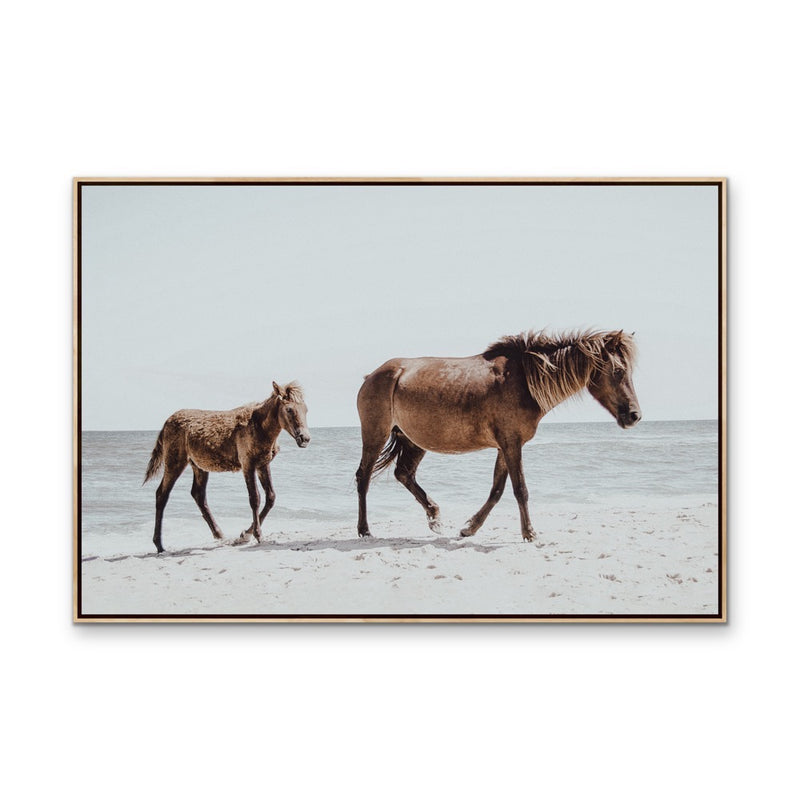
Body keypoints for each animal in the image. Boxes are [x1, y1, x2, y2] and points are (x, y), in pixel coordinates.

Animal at [144, 381, 310, 553]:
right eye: (289, 409)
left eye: (305, 409)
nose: (305, 438)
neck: (259, 427)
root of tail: (165, 424)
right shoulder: (248, 464)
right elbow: (255, 498)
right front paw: (255, 535)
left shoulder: (263, 465)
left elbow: (270, 497)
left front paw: (245, 534)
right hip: (174, 462)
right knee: (162, 494)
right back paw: (159, 545)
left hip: (199, 466)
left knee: (198, 495)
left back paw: (219, 535)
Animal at [355, 330, 641, 541]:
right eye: (617, 371)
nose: (634, 415)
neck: (524, 381)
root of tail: (373, 375)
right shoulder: (512, 444)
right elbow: (520, 489)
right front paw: (529, 533)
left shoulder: (506, 446)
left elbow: (497, 490)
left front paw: (469, 528)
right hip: (375, 434)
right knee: (364, 477)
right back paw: (365, 530)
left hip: (413, 440)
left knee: (404, 474)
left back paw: (434, 517)